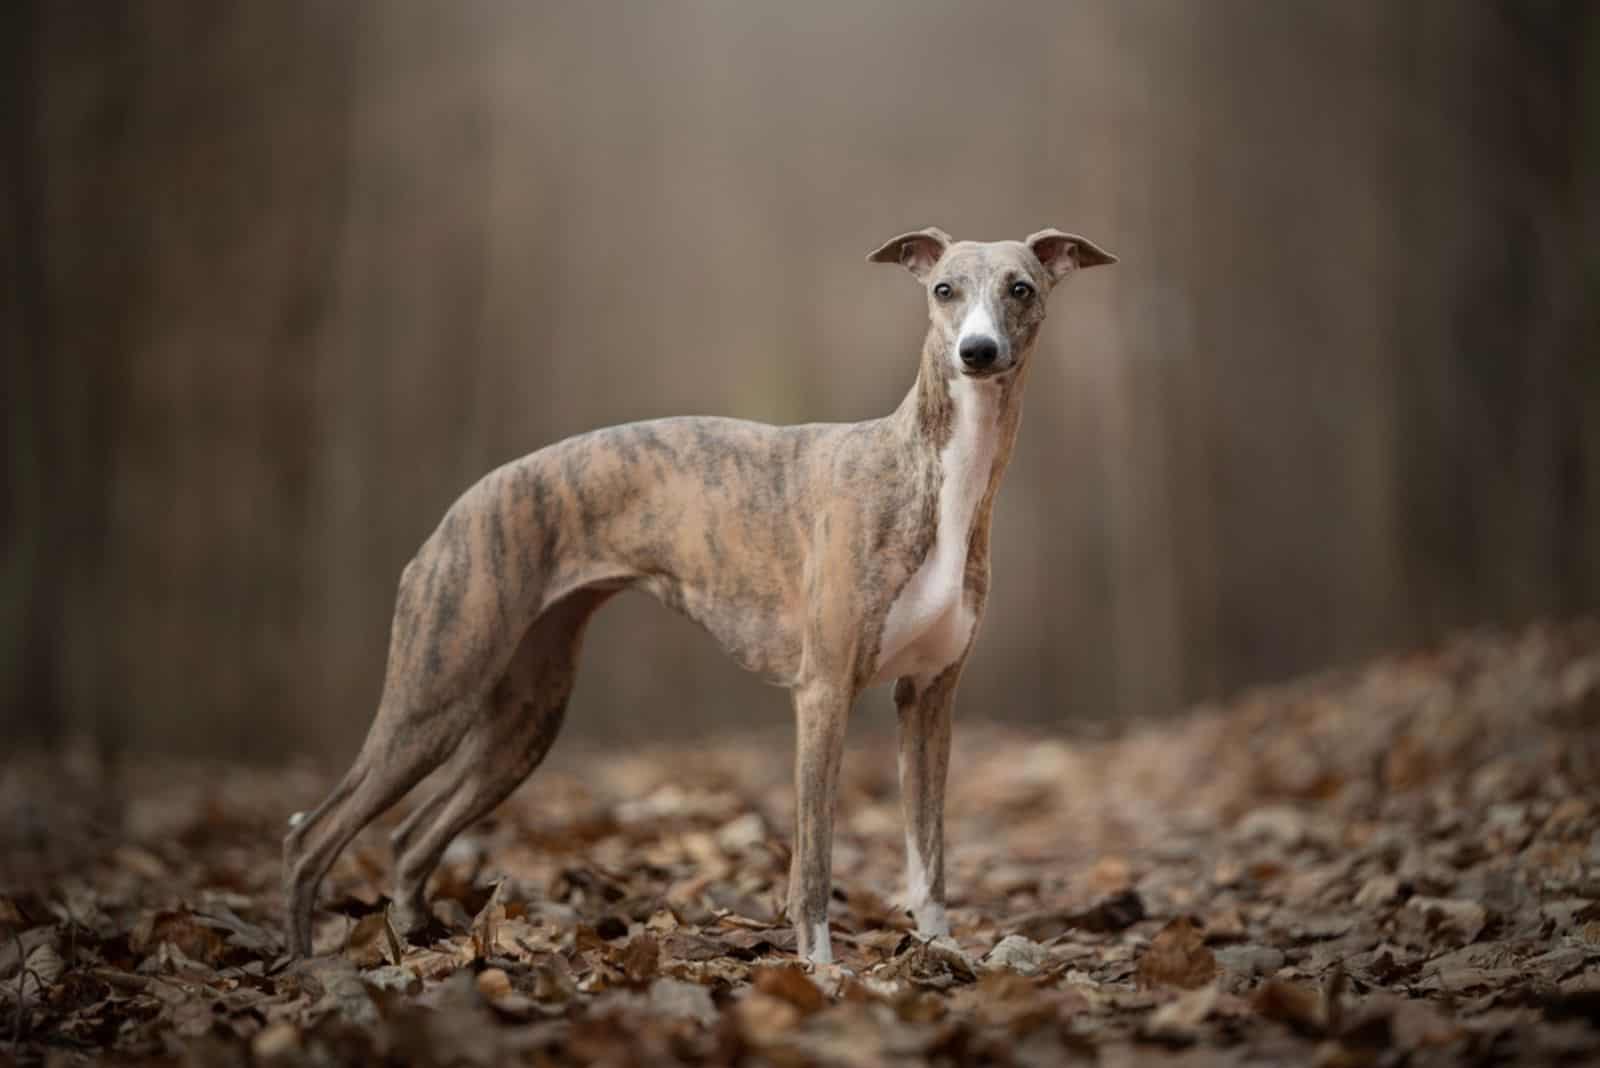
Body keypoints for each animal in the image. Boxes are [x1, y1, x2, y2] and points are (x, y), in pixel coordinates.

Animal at [281, 230, 1113, 965]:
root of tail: (459, 510)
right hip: (434, 693)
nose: (977, 352)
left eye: (1020, 288)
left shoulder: (929, 697)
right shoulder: (823, 692)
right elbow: (813, 861)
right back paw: (302, 964)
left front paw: (943, 955)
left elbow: (929, 852)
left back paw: (418, 944)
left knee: (407, 835)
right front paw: (822, 970)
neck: (930, 474)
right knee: (311, 836)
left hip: (522, 719)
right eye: (943, 289)